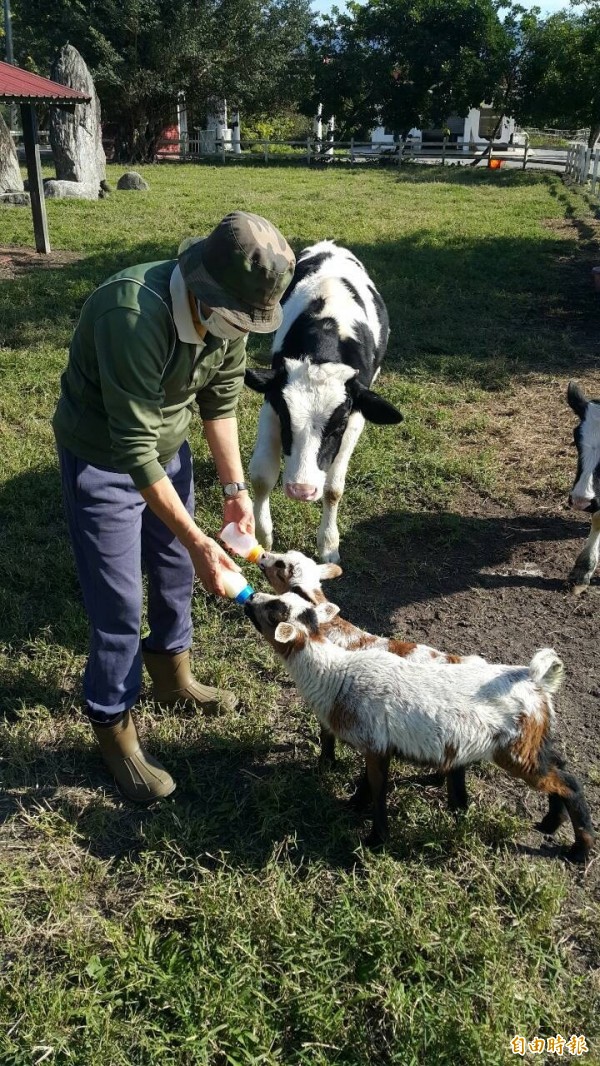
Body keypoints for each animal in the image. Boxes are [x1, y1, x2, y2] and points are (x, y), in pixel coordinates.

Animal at [244, 239, 402, 558]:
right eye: (287, 421)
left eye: (337, 427)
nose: (301, 491)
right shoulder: (271, 404)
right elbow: (262, 475)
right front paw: (262, 534)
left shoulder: (355, 417)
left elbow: (333, 488)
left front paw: (328, 543)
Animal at [245, 592, 596, 865]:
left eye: (274, 610)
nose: (249, 599)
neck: (335, 675)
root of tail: (536, 682)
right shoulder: (376, 744)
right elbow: (367, 783)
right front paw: (353, 805)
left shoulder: (375, 743)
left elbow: (377, 789)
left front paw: (375, 839)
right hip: (532, 743)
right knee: (559, 766)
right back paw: (550, 823)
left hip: (516, 751)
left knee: (569, 783)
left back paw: (579, 850)